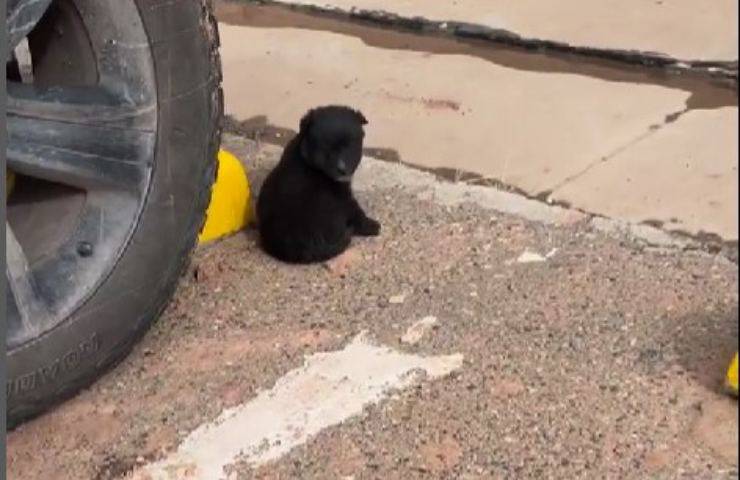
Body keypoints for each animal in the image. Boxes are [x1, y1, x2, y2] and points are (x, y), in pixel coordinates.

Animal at [258, 105, 382, 264]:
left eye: (350, 145)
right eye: (326, 148)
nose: (342, 169)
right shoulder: (343, 196)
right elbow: (356, 211)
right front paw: (373, 226)